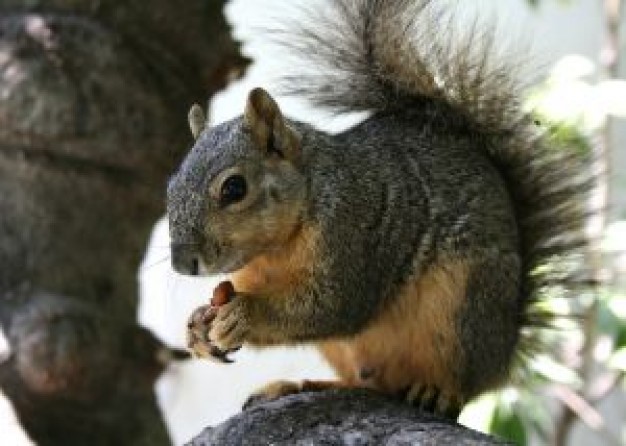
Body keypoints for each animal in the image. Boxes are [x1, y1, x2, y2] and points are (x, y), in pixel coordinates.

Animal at [165, 0, 584, 418]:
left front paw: (242, 315)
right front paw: (197, 326)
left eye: (234, 188)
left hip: (463, 311)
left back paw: (438, 392)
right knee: (367, 383)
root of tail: (505, 348)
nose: (182, 263)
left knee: (458, 382)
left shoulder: (353, 232)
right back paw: (299, 385)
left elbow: (333, 305)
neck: (276, 248)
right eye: (170, 187)